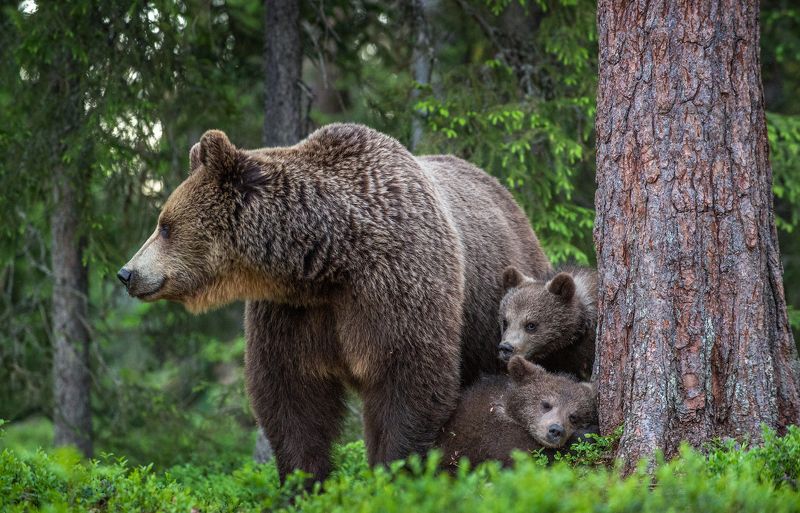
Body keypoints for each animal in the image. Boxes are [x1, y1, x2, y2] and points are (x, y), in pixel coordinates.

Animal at [117, 123, 552, 483]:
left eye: (165, 226)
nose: (126, 273)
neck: (330, 261)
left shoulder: (398, 287)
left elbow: (409, 381)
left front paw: (391, 472)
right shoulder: (292, 312)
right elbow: (290, 394)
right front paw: (304, 482)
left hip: (495, 303)